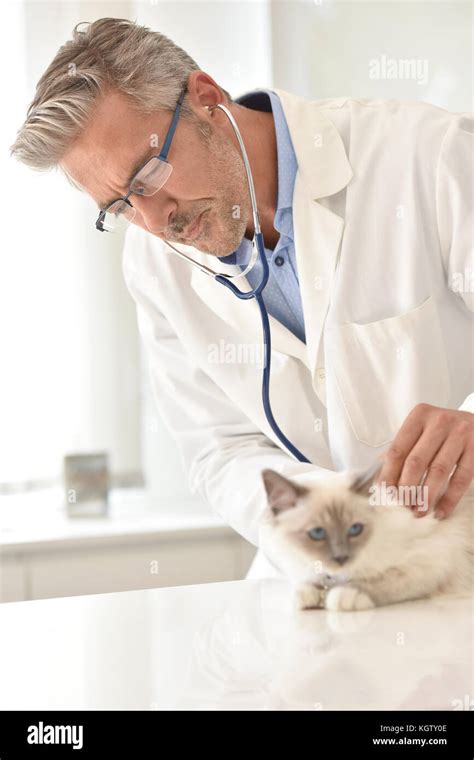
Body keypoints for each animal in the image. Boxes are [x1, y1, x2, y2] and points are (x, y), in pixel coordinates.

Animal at [260, 464, 474, 612]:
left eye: (355, 529)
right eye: (317, 533)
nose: (341, 558)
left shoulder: (427, 563)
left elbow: (375, 583)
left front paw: (341, 596)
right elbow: (308, 584)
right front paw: (309, 596)